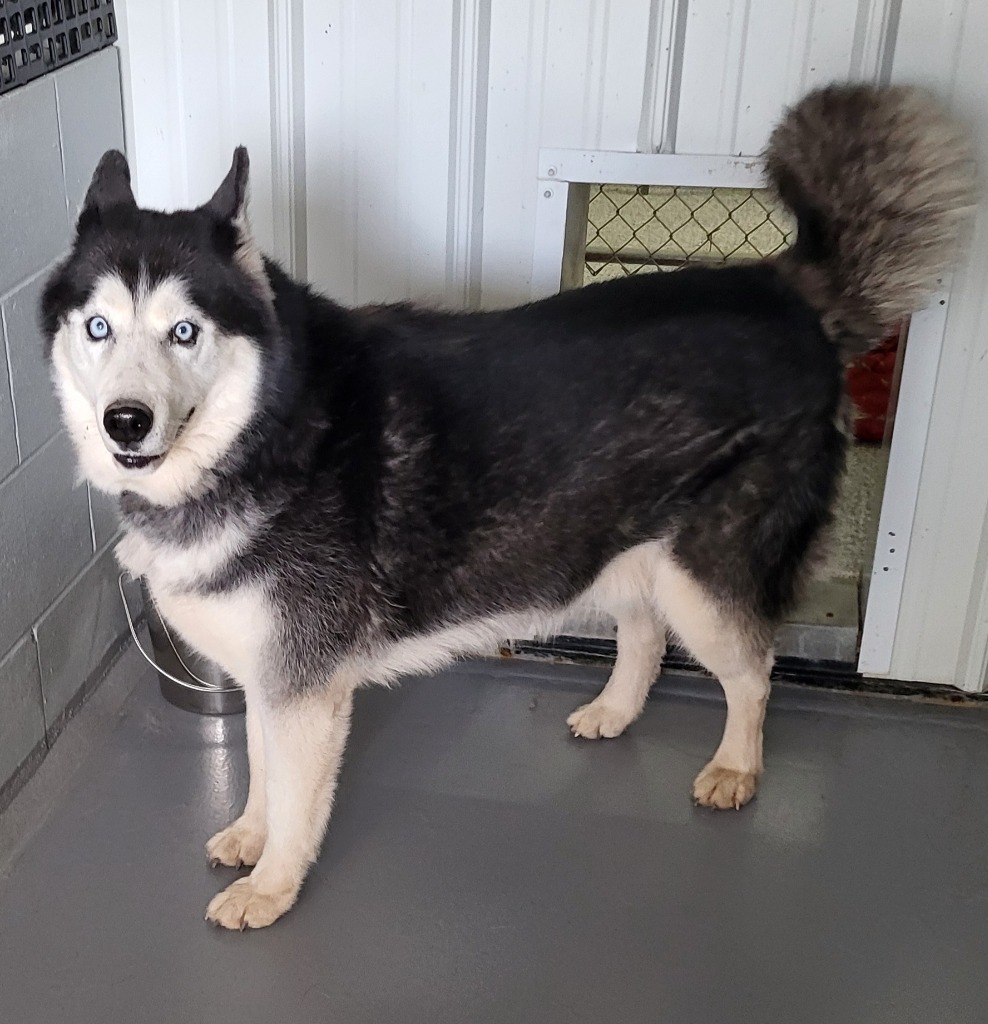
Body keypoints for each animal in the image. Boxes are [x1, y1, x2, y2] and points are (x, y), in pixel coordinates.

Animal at [40, 86, 970, 929]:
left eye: (184, 333)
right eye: (98, 328)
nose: (127, 421)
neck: (263, 433)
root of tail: (785, 289)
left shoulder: (304, 686)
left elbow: (298, 799)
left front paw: (273, 885)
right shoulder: (268, 672)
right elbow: (264, 775)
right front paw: (249, 834)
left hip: (703, 577)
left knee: (753, 669)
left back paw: (738, 767)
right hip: (622, 539)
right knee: (643, 632)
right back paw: (615, 711)